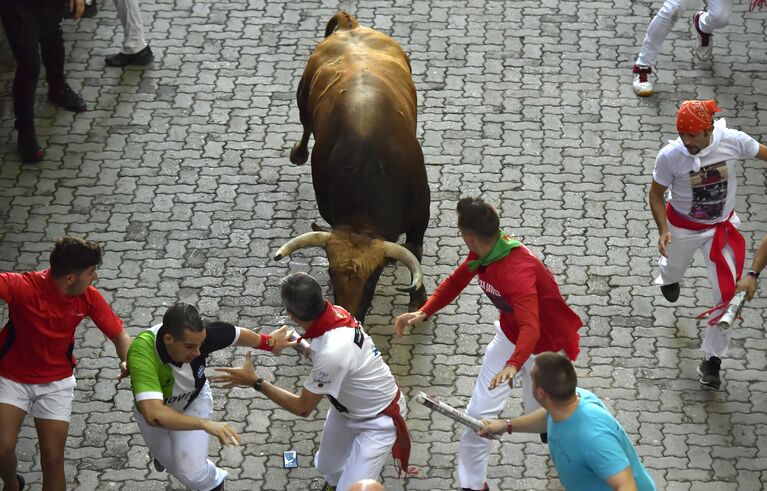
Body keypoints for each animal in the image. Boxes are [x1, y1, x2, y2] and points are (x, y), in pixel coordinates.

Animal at [276, 12, 432, 322]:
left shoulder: (421, 214)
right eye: (330, 273)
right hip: (302, 97)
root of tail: (351, 27)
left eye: (373, 277)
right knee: (305, 124)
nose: (350, 313)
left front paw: (418, 300)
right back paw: (298, 153)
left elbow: (415, 249)